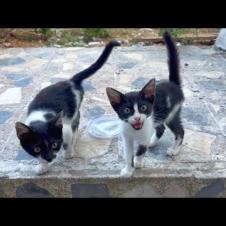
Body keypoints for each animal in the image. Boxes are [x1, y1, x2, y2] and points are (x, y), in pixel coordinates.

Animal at [107, 32, 185, 177]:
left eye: (143, 107)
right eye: (127, 110)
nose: (137, 118)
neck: (135, 130)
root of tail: (173, 84)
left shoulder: (144, 134)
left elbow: (140, 149)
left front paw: (137, 163)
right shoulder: (127, 138)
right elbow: (128, 154)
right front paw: (128, 169)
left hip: (172, 113)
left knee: (180, 130)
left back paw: (174, 150)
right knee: (161, 128)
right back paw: (152, 142)